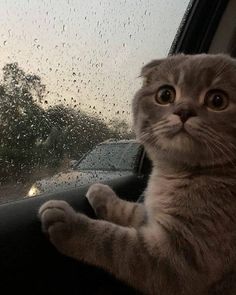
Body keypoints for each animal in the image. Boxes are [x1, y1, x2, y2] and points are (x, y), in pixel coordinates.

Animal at [38, 53, 236, 295]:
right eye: (165, 94)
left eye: (218, 100)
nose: (184, 111)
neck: (173, 174)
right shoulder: (151, 218)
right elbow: (130, 210)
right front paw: (101, 193)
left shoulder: (180, 258)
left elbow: (114, 241)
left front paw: (70, 222)